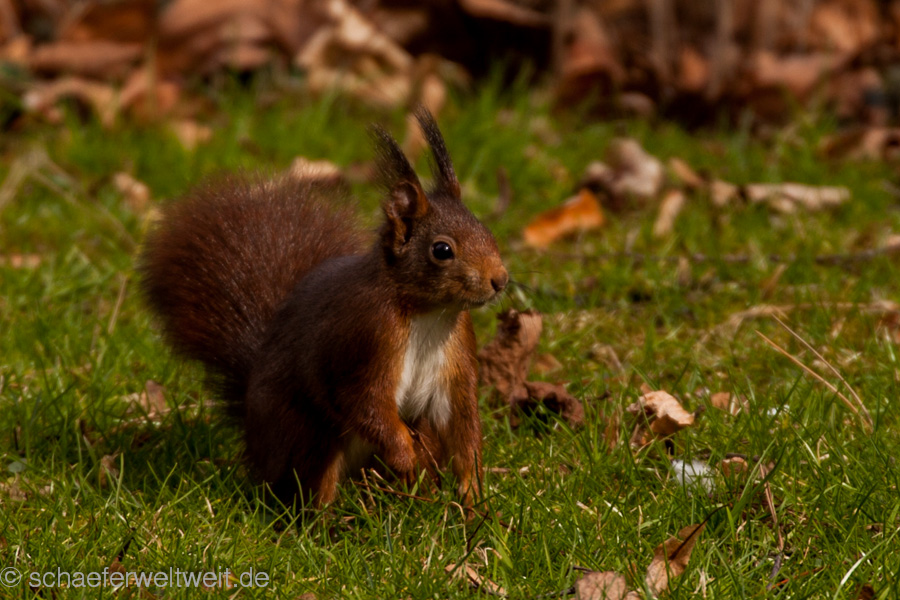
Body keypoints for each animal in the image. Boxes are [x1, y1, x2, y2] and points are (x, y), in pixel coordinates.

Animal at [139, 109, 508, 507]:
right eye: (442, 250)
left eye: (486, 231)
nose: (500, 280)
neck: (428, 315)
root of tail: (256, 452)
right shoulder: (365, 341)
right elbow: (364, 402)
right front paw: (405, 458)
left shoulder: (458, 356)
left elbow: (462, 424)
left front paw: (473, 496)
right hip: (308, 436)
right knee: (312, 486)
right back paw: (329, 519)